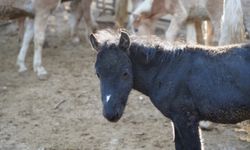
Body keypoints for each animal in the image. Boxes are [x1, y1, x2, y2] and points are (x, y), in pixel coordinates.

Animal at [90, 29, 250, 149]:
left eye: (125, 73)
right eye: (98, 74)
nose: (110, 114)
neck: (166, 68)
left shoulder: (186, 119)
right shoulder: (177, 120)